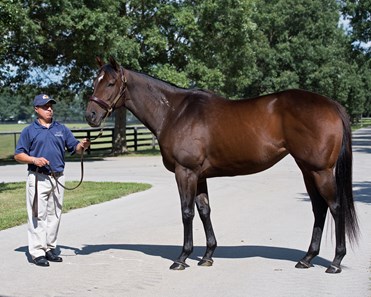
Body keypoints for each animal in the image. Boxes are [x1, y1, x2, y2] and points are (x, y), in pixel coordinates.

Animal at [85, 56, 358, 272]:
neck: (174, 112)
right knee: (319, 208)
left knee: (335, 207)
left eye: (110, 83)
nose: (90, 116)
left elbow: (186, 212)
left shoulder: (185, 172)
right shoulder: (199, 175)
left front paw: (182, 258)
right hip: (307, 170)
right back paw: (307, 258)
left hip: (320, 171)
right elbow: (204, 210)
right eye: (95, 81)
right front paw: (207, 256)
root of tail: (332, 105)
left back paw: (335, 262)